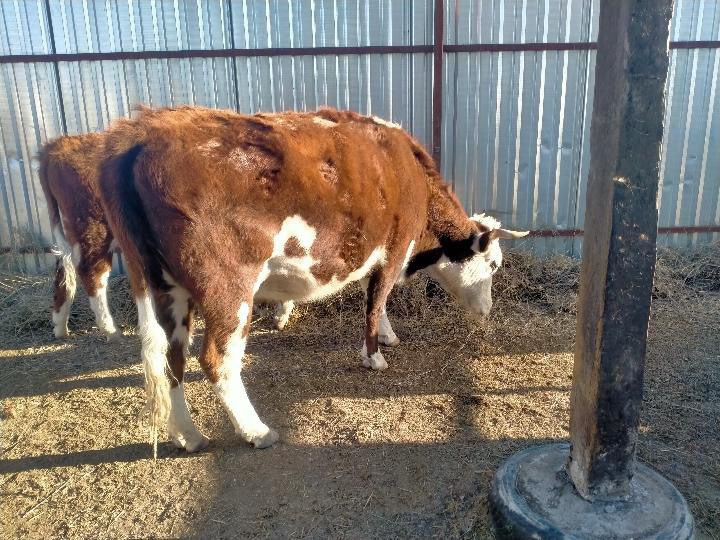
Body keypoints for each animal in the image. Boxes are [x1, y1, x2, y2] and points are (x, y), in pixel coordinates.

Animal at [39, 132, 295, 339]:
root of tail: (58, 145)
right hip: (92, 229)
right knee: (92, 274)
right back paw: (110, 330)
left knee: (65, 269)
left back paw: (60, 327)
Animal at [98, 106, 527, 453]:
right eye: (493, 265)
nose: (488, 310)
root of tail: (143, 133)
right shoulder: (393, 249)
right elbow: (376, 300)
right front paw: (374, 356)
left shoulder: (371, 253)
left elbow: (373, 297)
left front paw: (387, 335)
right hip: (227, 287)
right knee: (217, 359)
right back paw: (257, 432)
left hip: (164, 288)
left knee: (172, 359)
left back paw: (188, 437)